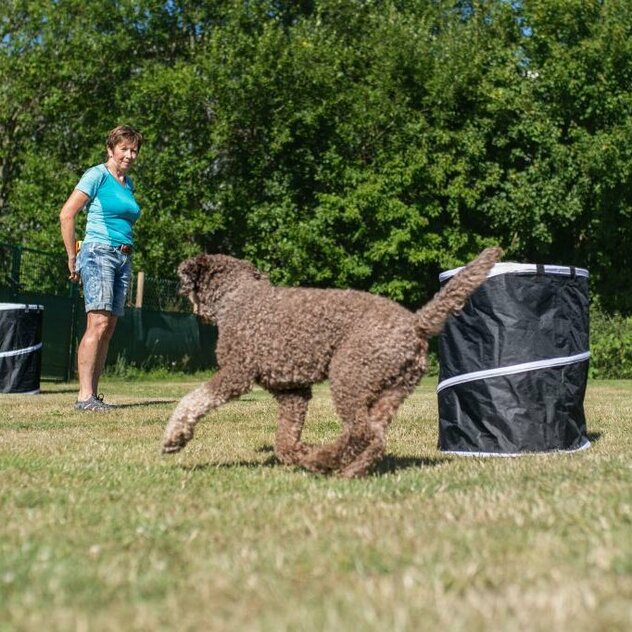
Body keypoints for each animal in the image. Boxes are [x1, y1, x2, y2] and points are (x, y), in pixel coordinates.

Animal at [163, 249, 504, 476]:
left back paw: (323, 460)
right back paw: (347, 469)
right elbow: (284, 441)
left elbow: (192, 400)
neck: (237, 299)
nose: (179, 290)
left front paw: (175, 437)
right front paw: (298, 452)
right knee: (375, 437)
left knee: (361, 432)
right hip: (390, 392)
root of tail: (416, 323)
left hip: (348, 376)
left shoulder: (236, 373)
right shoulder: (293, 393)